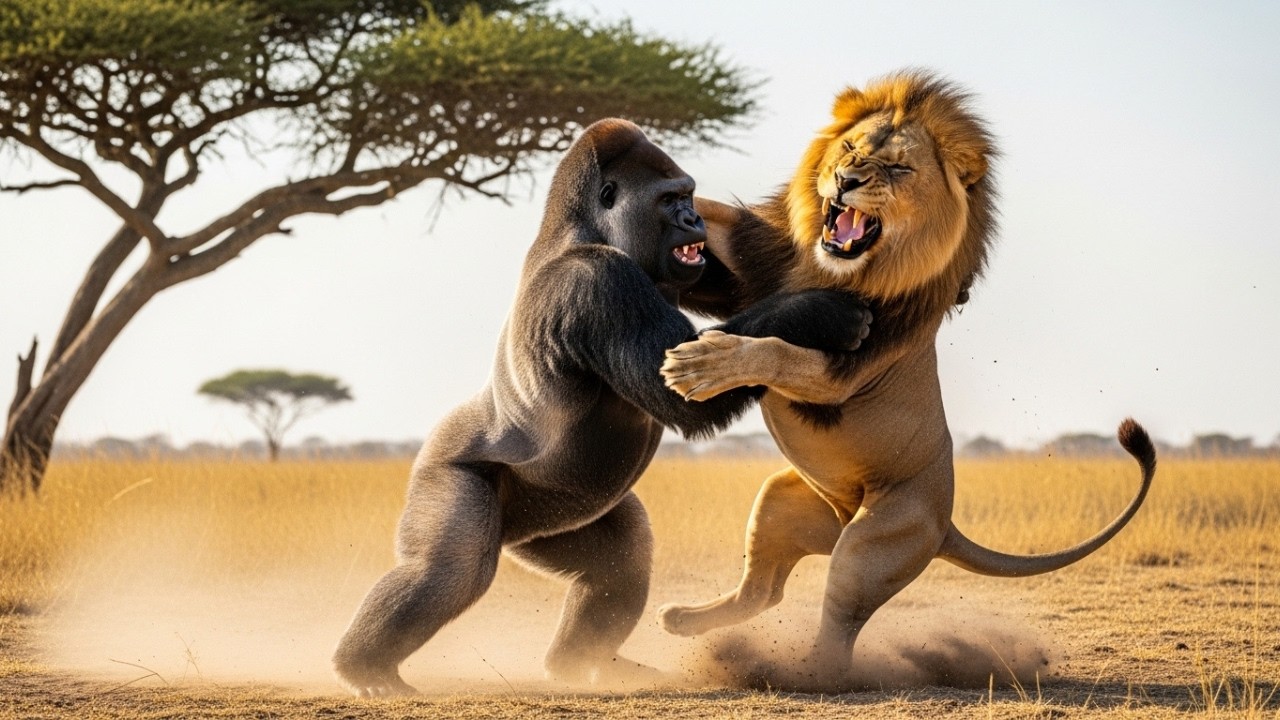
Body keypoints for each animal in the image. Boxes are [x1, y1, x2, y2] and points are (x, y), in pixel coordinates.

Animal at [331, 119, 872, 697]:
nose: (694, 219)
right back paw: (365, 667)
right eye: (670, 200)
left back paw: (577, 665)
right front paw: (818, 312)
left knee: (620, 559)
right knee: (450, 571)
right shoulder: (600, 278)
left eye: (688, 195)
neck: (586, 229)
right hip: (446, 469)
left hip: (545, 519)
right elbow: (689, 395)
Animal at [656, 70, 1157, 691]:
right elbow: (719, 228)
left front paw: (700, 365)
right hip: (782, 501)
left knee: (837, 627)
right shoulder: (753, 268)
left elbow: (774, 351)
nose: (845, 181)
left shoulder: (845, 371)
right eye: (849, 149)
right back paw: (683, 618)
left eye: (896, 169)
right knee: (763, 592)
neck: (835, 267)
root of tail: (945, 525)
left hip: (876, 541)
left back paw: (800, 672)